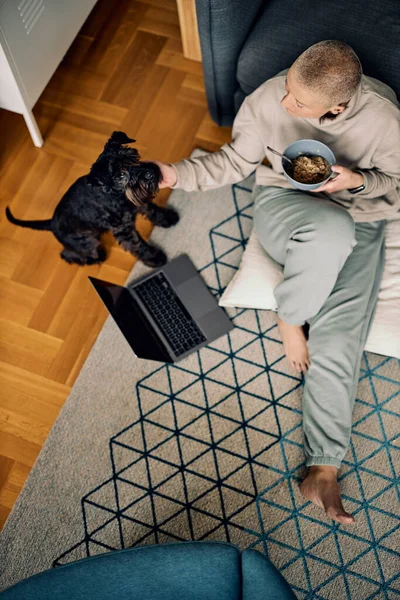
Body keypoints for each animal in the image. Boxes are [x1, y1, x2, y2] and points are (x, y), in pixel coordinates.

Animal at [5, 131, 178, 268]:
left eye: (133, 156)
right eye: (120, 175)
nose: (150, 174)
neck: (116, 194)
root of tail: (51, 223)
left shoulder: (138, 204)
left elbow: (152, 209)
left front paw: (168, 218)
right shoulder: (124, 231)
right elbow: (138, 245)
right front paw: (155, 258)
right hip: (87, 243)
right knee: (69, 254)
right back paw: (93, 258)